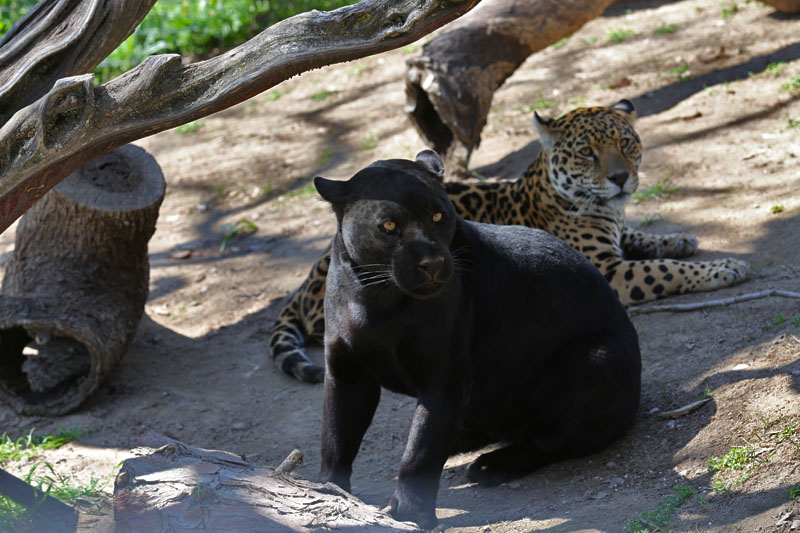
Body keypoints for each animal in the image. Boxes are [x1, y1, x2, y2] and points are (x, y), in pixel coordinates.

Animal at [269, 99, 749, 384]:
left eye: (627, 143)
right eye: (587, 153)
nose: (620, 178)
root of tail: (306, 281)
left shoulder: (618, 236)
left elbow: (645, 239)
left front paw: (681, 238)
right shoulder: (609, 270)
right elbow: (661, 270)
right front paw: (724, 268)